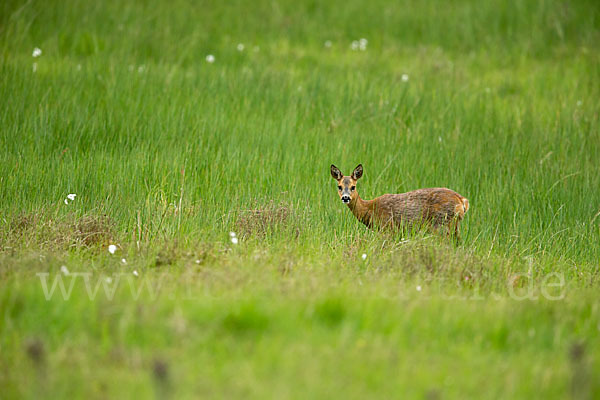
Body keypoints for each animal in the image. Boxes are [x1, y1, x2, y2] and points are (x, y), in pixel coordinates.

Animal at [332, 163, 468, 241]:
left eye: (353, 187)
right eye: (339, 186)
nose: (345, 197)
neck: (370, 209)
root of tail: (462, 201)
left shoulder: (388, 227)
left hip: (441, 223)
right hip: (454, 225)